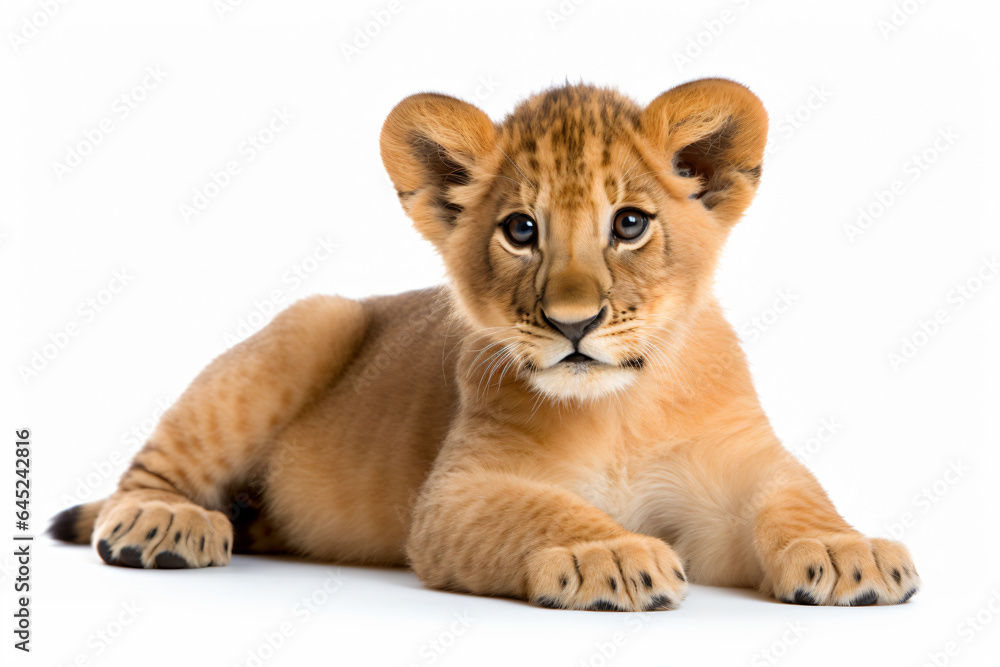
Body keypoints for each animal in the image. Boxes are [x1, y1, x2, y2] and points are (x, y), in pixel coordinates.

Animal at [51, 79, 918, 610]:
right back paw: (163, 523)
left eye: (630, 223)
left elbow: (798, 499)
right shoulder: (457, 495)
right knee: (147, 475)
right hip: (314, 320)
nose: (574, 321)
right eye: (521, 230)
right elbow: (543, 510)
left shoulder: (737, 471)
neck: (622, 409)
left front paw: (851, 554)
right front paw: (607, 555)